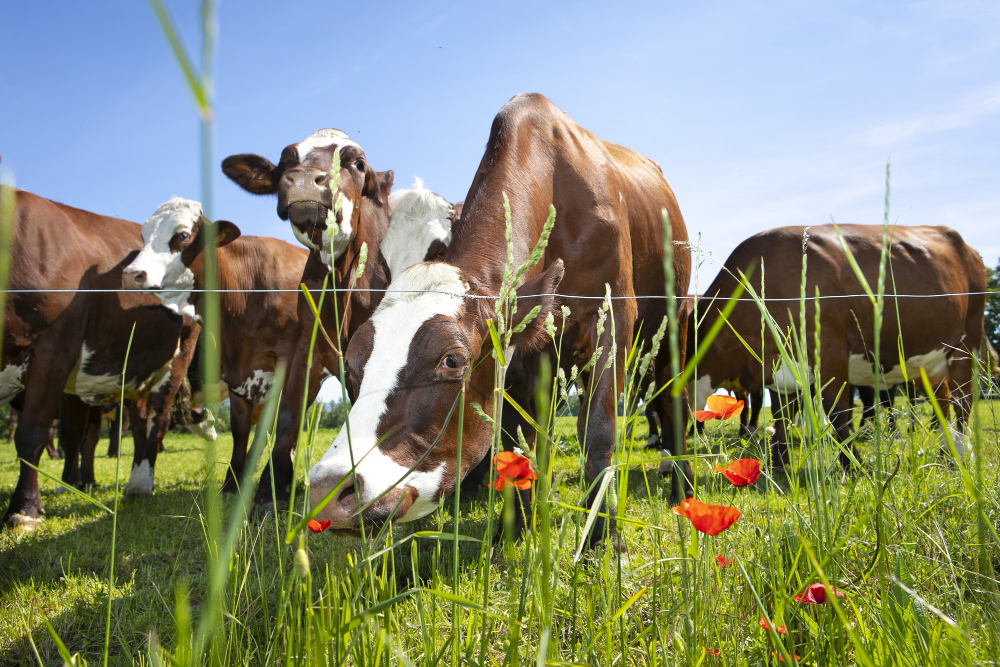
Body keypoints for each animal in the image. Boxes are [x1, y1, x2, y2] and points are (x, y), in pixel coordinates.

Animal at [0, 188, 199, 528]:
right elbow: (73, 436)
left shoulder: (53, 350)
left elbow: (34, 434)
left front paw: (24, 510)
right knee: (138, 420)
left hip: (177, 358)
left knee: (157, 418)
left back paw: (142, 482)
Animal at [124, 197, 308, 490]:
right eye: (144, 235)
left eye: (183, 235)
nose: (132, 274)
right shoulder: (233, 369)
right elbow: (240, 428)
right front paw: (233, 482)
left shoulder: (287, 362)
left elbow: (278, 419)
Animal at [308, 92, 692, 548]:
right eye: (352, 365)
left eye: (452, 360)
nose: (328, 491)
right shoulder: (519, 354)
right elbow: (514, 441)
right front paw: (514, 532)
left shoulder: (613, 312)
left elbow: (598, 429)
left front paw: (602, 538)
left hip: (674, 323)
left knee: (675, 401)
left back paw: (682, 486)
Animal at [688, 222, 984, 468]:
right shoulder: (779, 368)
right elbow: (782, 415)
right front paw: (779, 462)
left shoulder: (829, 353)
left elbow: (838, 411)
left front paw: (853, 465)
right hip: (930, 362)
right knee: (943, 399)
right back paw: (946, 452)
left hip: (967, 342)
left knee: (963, 398)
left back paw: (959, 454)